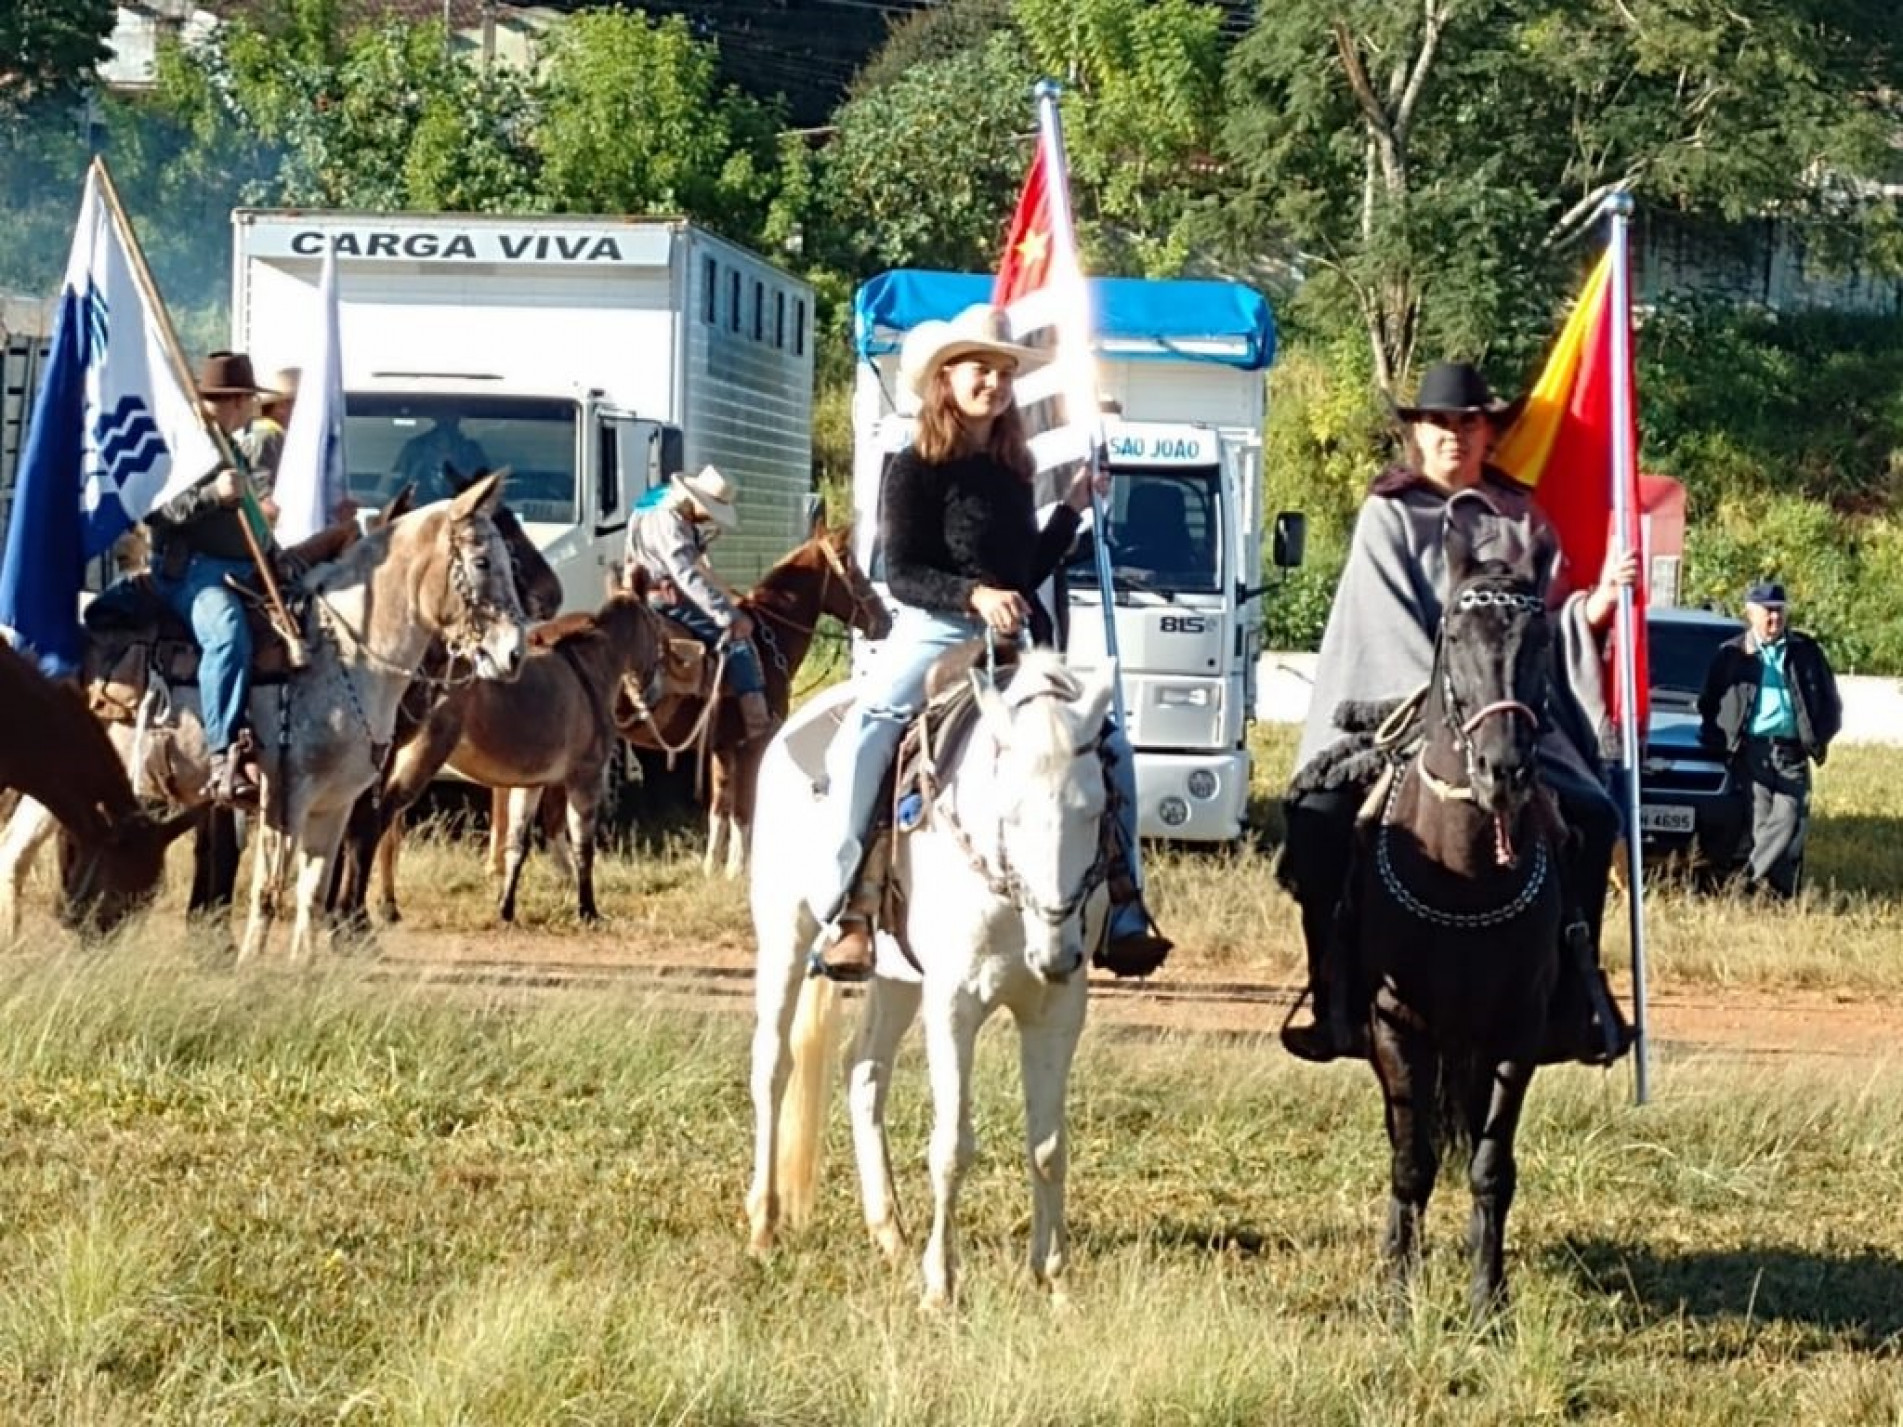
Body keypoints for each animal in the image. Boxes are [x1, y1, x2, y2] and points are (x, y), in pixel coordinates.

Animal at [371, 582, 669, 928]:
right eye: (656, 625)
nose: (653, 694)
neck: (590, 668)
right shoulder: (586, 779)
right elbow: (583, 847)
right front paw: (587, 910)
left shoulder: (530, 784)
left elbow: (516, 845)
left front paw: (506, 908)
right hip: (421, 757)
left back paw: (383, 906)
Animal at [742, 654, 1111, 1316]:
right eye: (1011, 812)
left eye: (1094, 809)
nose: (1056, 952)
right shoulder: (953, 1005)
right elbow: (952, 1146)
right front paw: (941, 1285)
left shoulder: (1057, 1009)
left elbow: (1048, 1147)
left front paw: (1055, 1281)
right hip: (784, 931)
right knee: (773, 1066)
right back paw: (764, 1225)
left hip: (896, 978)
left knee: (864, 1070)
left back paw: (888, 1232)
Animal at [1347, 509, 1568, 1324]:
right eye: (1454, 633)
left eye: (1540, 641)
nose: (1502, 771)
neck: (1466, 878)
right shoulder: (1396, 1023)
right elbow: (1410, 1158)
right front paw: (1397, 1290)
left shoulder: (1516, 1032)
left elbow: (1489, 1164)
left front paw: (1488, 1300)